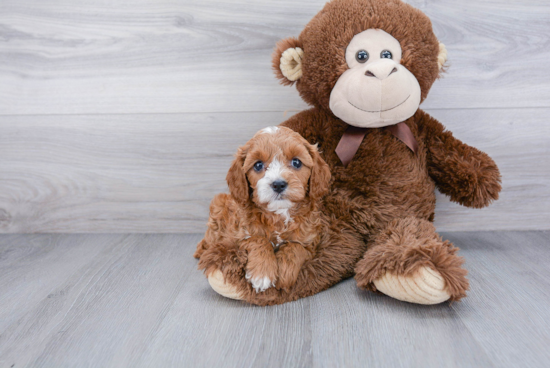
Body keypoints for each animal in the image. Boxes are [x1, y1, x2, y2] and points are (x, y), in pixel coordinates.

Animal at [194, 126, 332, 294]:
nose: (278, 184)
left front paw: (284, 273)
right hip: (218, 206)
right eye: (258, 165)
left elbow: (296, 246)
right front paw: (262, 274)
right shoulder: (237, 238)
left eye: (296, 162)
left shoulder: (310, 242)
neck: (279, 214)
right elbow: (258, 239)